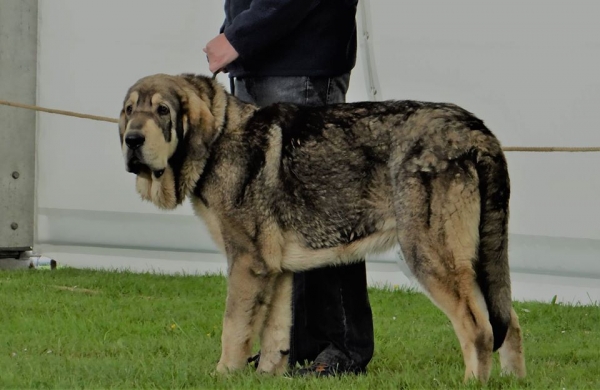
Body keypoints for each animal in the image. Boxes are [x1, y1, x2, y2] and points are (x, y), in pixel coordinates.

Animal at [116, 72, 524, 380]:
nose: (132, 140)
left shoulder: (247, 263)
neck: (219, 137)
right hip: (479, 262)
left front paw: (223, 375)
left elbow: (233, 329)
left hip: (430, 256)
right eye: (129, 110)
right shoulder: (276, 271)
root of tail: (475, 131)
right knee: (509, 323)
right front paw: (266, 377)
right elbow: (275, 334)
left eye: (163, 111)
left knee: (478, 329)